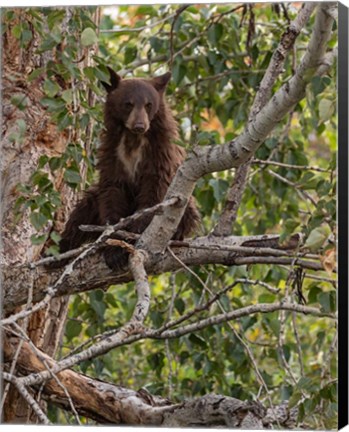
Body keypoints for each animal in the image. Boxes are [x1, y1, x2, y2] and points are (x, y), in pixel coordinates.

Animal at [58, 67, 197, 268]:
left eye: (148, 104)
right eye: (128, 104)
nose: (140, 125)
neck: (134, 139)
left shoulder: (161, 152)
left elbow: (155, 187)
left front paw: (134, 233)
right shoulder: (112, 152)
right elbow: (112, 190)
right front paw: (114, 249)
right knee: (83, 210)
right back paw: (61, 251)